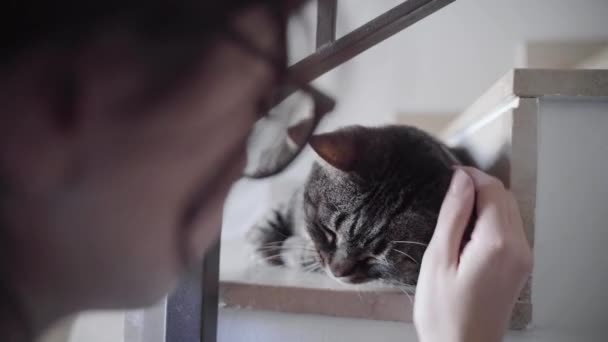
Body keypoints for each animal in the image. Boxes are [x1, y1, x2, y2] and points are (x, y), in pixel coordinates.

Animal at [245, 124, 464, 288]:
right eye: (329, 232)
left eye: (375, 257)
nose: (336, 272)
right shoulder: (294, 201)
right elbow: (273, 217)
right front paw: (262, 241)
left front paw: (290, 250)